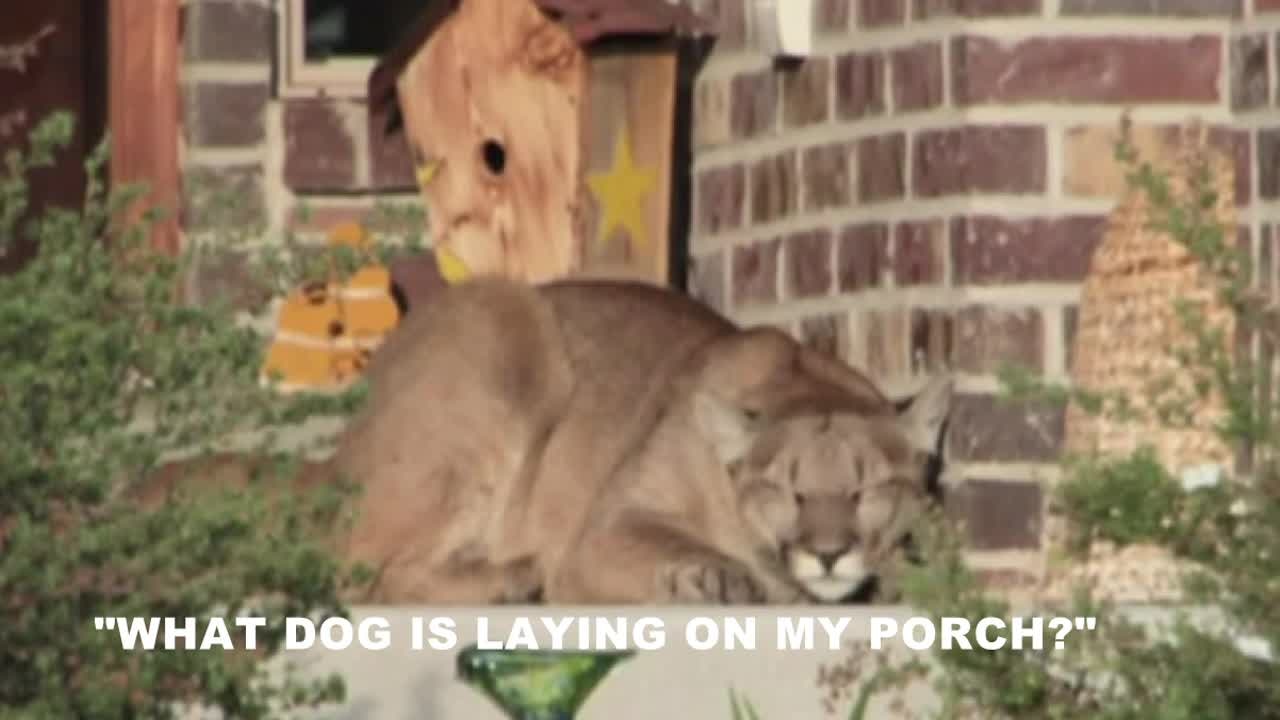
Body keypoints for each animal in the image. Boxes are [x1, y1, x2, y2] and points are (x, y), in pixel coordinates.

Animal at [134, 277, 951, 606]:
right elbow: (670, 546)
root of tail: (335, 454)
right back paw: (514, 577)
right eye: (785, 488)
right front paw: (720, 577)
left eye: (868, 489)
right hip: (499, 323)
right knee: (354, 573)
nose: (828, 552)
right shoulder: (605, 527)